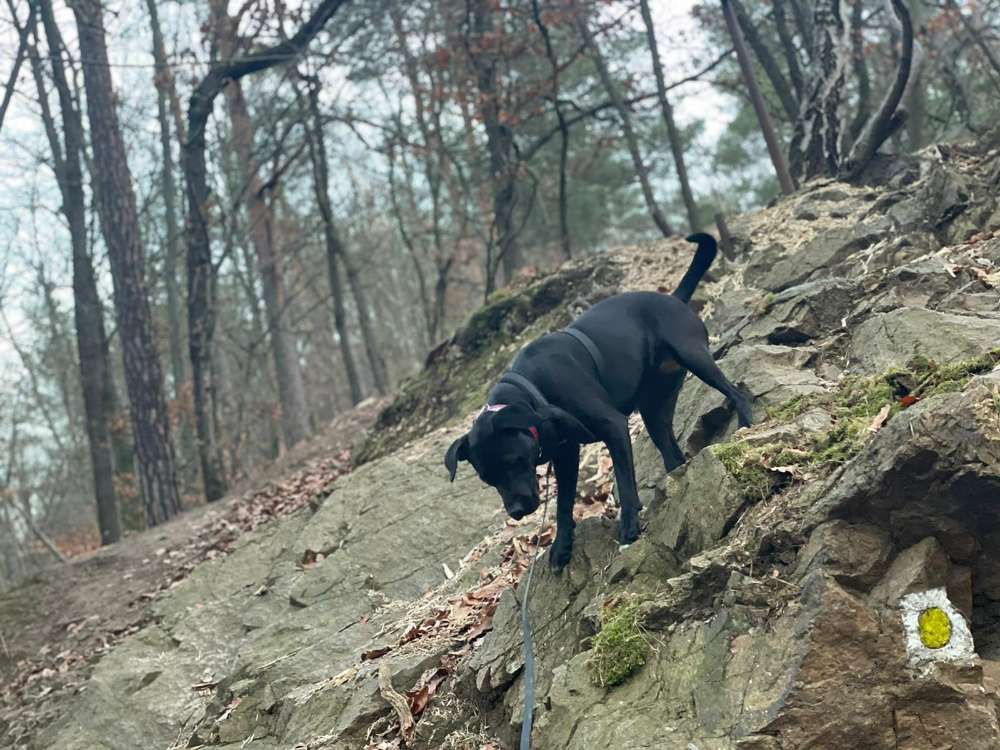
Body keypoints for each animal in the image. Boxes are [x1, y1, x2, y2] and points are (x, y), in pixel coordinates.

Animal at [446, 235, 752, 568]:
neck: (534, 393)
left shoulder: (613, 427)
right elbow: (563, 506)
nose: (516, 511)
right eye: (488, 479)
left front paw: (629, 526)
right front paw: (561, 546)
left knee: (737, 393)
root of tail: (674, 298)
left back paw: (746, 424)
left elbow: (625, 481)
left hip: (695, 356)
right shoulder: (566, 456)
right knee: (672, 454)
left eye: (513, 462)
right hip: (655, 411)